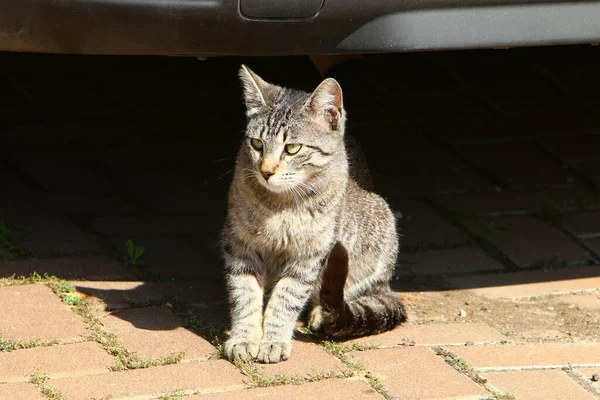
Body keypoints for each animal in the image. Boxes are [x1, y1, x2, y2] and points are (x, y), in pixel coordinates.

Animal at [221, 65, 408, 362]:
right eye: (257, 144)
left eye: (292, 148)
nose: (266, 171)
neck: (281, 206)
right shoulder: (239, 244)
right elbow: (245, 294)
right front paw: (244, 338)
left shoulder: (310, 254)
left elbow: (286, 299)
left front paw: (273, 340)